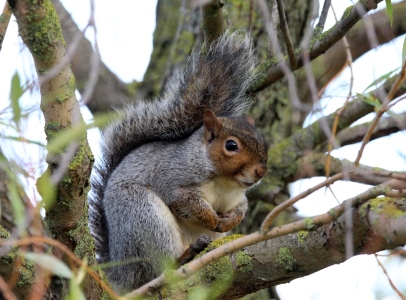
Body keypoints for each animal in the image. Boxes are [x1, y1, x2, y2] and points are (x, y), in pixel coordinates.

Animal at [87, 32, 268, 292]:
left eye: (263, 141)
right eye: (231, 146)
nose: (261, 171)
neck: (223, 182)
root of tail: (125, 276)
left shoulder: (237, 197)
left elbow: (241, 208)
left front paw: (230, 221)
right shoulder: (171, 177)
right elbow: (185, 201)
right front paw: (212, 218)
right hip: (144, 217)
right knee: (158, 269)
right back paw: (183, 257)